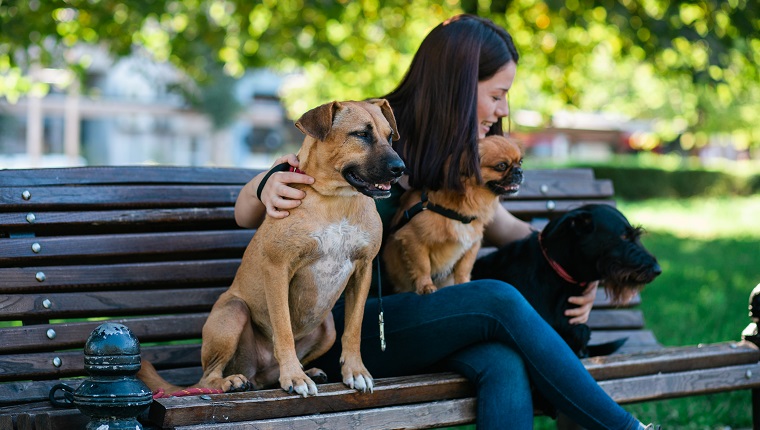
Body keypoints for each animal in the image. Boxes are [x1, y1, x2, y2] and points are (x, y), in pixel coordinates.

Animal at [140, 100, 406, 396]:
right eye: (361, 134)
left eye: (390, 136)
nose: (400, 168)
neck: (336, 199)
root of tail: (256, 372)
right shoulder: (278, 269)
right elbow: (283, 329)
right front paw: (294, 376)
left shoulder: (363, 270)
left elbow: (354, 328)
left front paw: (355, 371)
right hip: (233, 311)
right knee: (208, 378)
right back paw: (232, 381)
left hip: (327, 329)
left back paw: (304, 371)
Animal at [386, 135, 524, 296]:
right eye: (501, 166)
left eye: (520, 162)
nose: (520, 171)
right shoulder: (413, 238)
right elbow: (423, 266)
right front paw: (426, 286)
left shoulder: (472, 244)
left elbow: (464, 268)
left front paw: (464, 284)